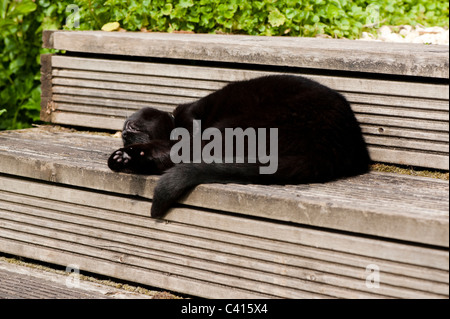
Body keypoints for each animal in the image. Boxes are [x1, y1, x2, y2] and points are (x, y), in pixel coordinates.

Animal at [107, 76, 370, 219]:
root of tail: (331, 145)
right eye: (124, 134)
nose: (125, 134)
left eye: (130, 126)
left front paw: (125, 155)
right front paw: (124, 157)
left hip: (236, 124)